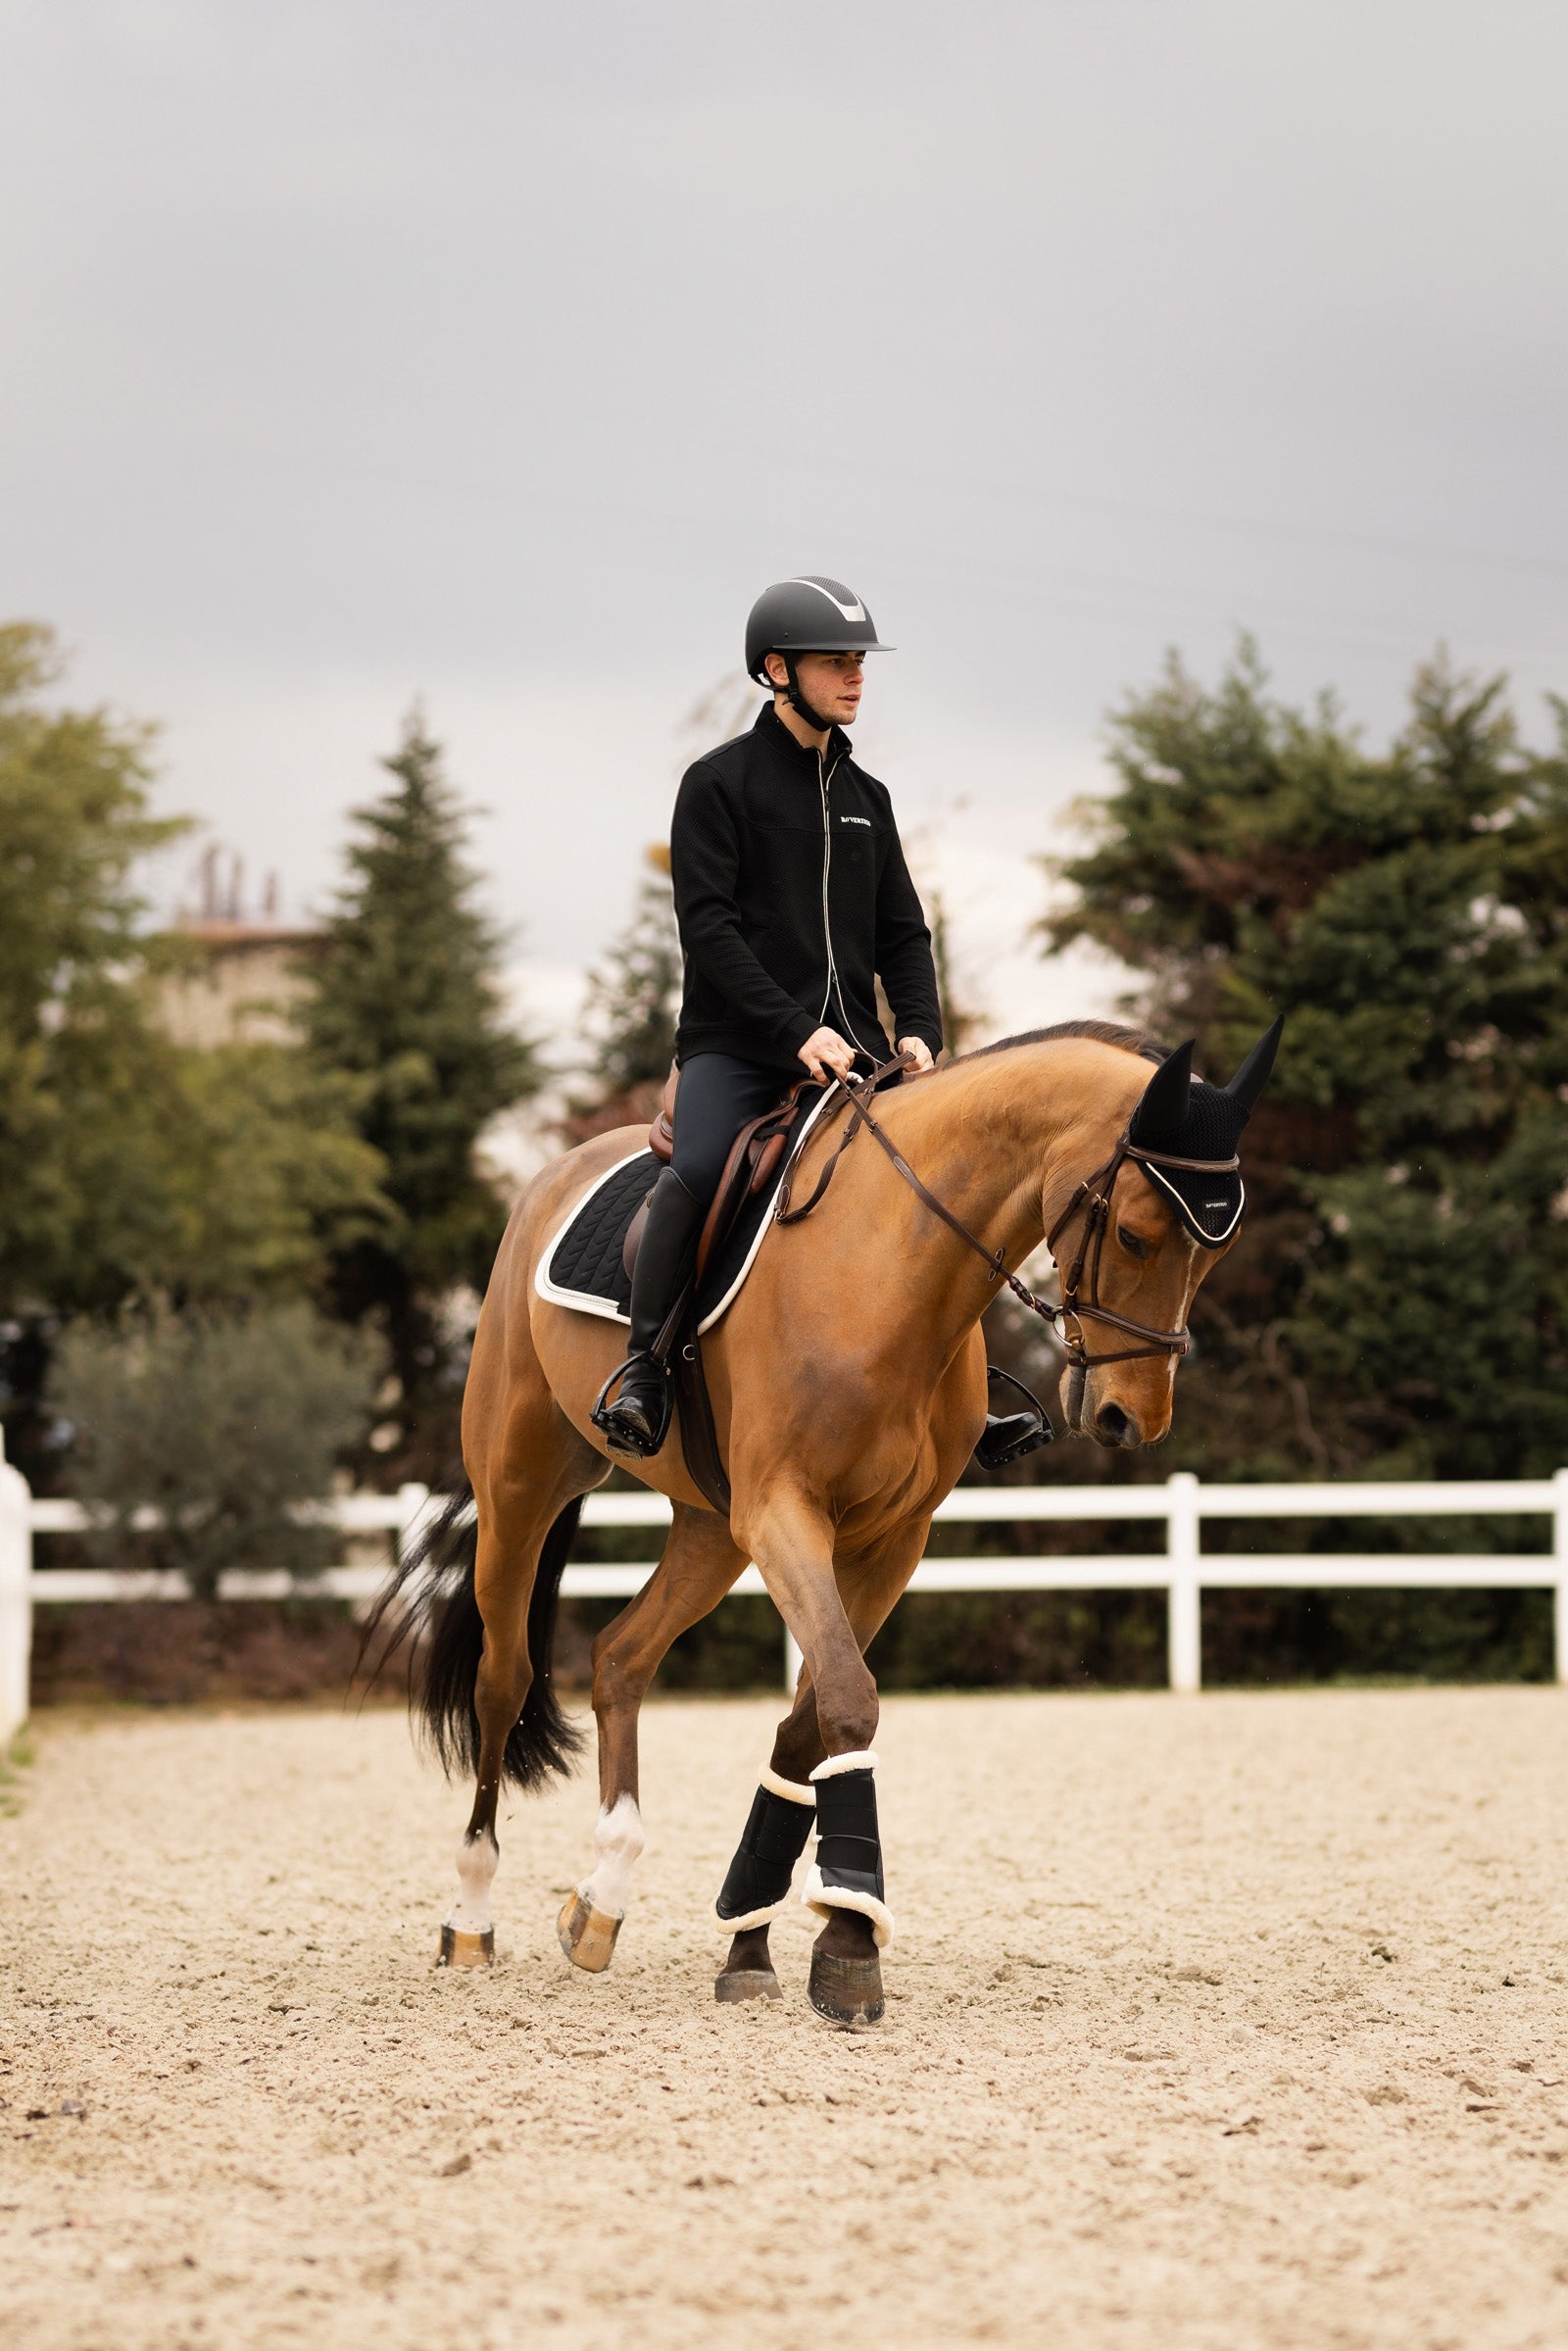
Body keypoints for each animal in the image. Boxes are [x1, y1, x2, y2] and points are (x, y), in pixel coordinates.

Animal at [377, 1016, 1279, 2026]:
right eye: (1132, 1231)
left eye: (1214, 1254)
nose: (1131, 1418)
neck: (890, 1265)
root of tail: (552, 1177)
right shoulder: (787, 1514)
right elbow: (847, 1700)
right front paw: (848, 1938)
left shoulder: (889, 1540)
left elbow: (807, 1728)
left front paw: (759, 1935)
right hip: (523, 1487)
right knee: (502, 1679)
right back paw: (471, 1916)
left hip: (710, 1529)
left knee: (619, 1657)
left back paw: (602, 1899)